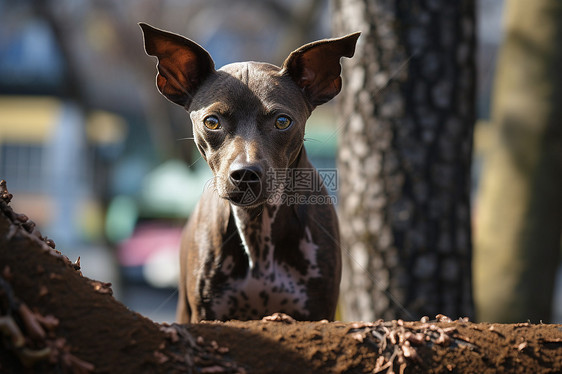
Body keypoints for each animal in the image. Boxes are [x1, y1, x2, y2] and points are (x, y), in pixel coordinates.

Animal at [141, 22, 358, 322]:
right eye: (212, 122)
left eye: (282, 121)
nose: (245, 173)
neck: (258, 225)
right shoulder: (207, 313)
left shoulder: (317, 311)